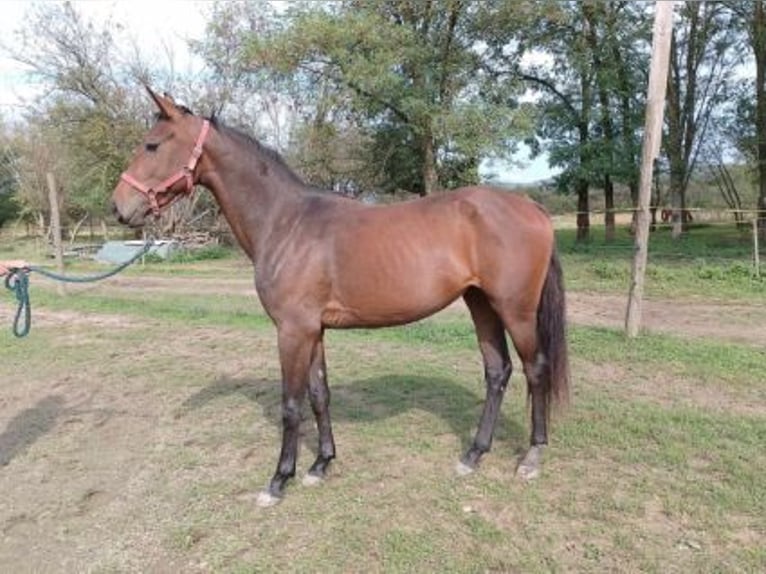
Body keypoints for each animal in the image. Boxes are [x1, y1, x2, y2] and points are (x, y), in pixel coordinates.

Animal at [112, 89, 568, 508]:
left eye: (152, 144)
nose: (119, 207)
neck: (286, 222)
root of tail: (533, 208)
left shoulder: (292, 331)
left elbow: (291, 404)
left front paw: (279, 480)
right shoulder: (313, 330)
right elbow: (319, 395)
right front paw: (320, 465)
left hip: (515, 309)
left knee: (535, 369)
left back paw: (531, 457)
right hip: (481, 304)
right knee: (497, 372)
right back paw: (473, 454)